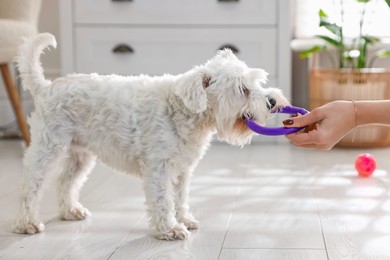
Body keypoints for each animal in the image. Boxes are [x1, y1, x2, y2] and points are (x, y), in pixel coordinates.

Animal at [12, 33, 290, 241]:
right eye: (243, 90)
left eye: (258, 82)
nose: (272, 101)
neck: (182, 111)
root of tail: (46, 88)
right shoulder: (159, 168)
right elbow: (162, 200)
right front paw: (170, 229)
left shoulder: (182, 169)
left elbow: (180, 198)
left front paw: (184, 219)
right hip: (48, 147)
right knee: (30, 185)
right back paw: (27, 223)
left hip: (80, 154)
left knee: (66, 181)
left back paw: (71, 211)